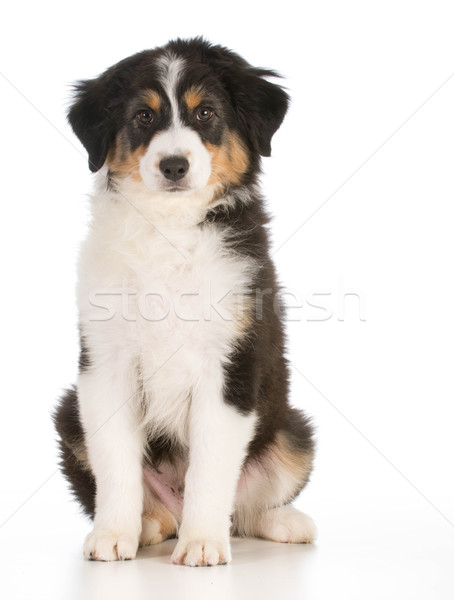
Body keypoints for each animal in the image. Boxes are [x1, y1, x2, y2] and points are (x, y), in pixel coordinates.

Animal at [53, 38, 316, 568]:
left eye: (206, 112)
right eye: (143, 116)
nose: (174, 165)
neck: (169, 231)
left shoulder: (231, 364)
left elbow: (211, 468)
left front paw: (202, 544)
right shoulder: (105, 365)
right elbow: (115, 461)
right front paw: (113, 535)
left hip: (294, 432)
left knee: (247, 510)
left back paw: (284, 524)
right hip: (70, 412)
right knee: (152, 501)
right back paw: (149, 525)